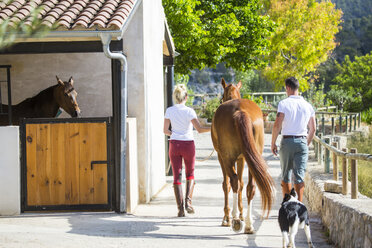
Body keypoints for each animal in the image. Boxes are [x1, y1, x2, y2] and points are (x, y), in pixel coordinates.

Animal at [211, 78, 274, 233]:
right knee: (250, 187)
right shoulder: (242, 159)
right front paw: (241, 213)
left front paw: (227, 217)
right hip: (253, 158)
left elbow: (227, 184)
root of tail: (240, 111)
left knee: (233, 181)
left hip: (227, 158)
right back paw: (249, 224)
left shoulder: (222, 158)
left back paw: (234, 220)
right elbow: (241, 184)